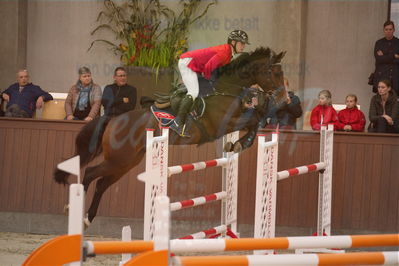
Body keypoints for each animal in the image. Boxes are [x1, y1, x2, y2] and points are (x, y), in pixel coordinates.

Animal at [54, 46, 288, 225]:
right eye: (274, 73)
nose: (284, 100)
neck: (227, 87)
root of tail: (112, 119)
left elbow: (256, 117)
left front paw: (237, 144)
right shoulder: (223, 123)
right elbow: (253, 119)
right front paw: (241, 143)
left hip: (126, 162)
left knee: (102, 183)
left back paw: (88, 218)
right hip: (119, 159)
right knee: (91, 173)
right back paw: (72, 207)